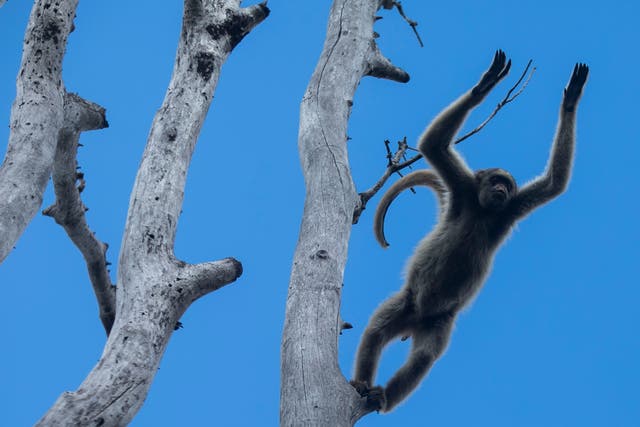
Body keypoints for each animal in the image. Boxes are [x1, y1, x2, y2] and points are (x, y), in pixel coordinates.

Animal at [351, 51, 589, 413]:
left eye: (507, 185)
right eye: (496, 181)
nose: (502, 190)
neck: (483, 211)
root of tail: (415, 320)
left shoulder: (510, 209)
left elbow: (554, 183)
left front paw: (572, 100)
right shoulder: (463, 189)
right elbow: (433, 145)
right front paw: (486, 84)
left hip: (438, 322)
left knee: (423, 357)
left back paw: (383, 395)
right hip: (408, 303)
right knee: (377, 329)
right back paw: (364, 384)